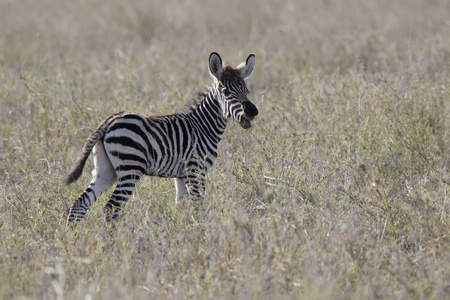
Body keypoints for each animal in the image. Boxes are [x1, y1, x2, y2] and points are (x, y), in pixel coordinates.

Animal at [65, 52, 258, 224]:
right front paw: (204, 233)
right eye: (225, 92)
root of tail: (109, 120)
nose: (252, 111)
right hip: (130, 168)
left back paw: (73, 237)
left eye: (246, 90)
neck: (203, 126)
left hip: (105, 170)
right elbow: (199, 207)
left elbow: (182, 208)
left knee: (79, 204)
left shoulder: (181, 175)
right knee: (111, 209)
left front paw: (186, 234)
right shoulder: (196, 170)